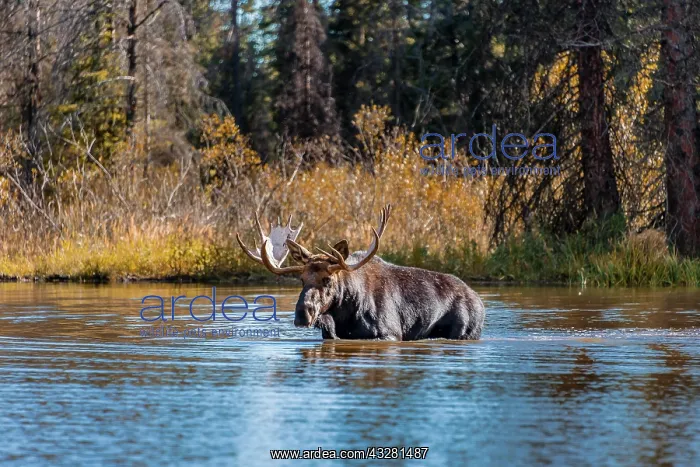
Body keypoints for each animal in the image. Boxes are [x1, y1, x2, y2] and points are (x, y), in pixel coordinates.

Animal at [236, 205, 485, 341]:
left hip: (465, 330)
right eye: (301, 279)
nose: (302, 314)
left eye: (327, 279)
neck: (344, 315)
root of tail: (479, 301)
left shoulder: (390, 333)